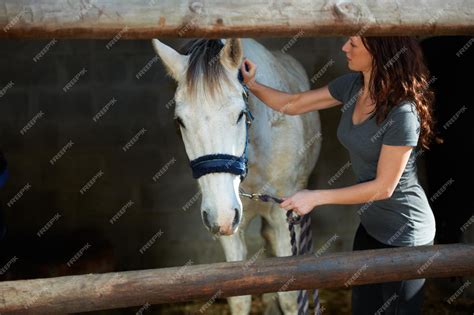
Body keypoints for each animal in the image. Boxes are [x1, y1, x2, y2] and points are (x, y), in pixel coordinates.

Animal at [152, 38, 322, 314]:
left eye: (241, 114)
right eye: (180, 121)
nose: (221, 216)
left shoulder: (282, 215)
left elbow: (289, 294)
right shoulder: (232, 224)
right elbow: (238, 295)